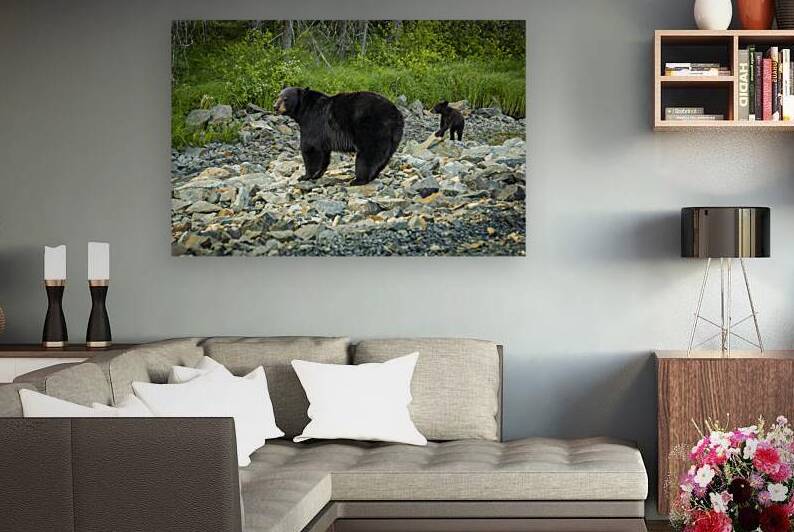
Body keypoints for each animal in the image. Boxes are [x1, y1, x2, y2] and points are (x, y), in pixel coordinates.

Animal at [274, 87, 404, 186]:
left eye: (285, 98)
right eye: (278, 95)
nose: (275, 107)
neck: (304, 110)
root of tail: (395, 114)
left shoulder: (313, 123)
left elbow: (310, 148)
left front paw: (305, 176)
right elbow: (324, 154)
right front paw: (318, 174)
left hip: (371, 129)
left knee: (368, 154)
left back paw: (358, 180)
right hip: (394, 136)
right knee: (384, 157)